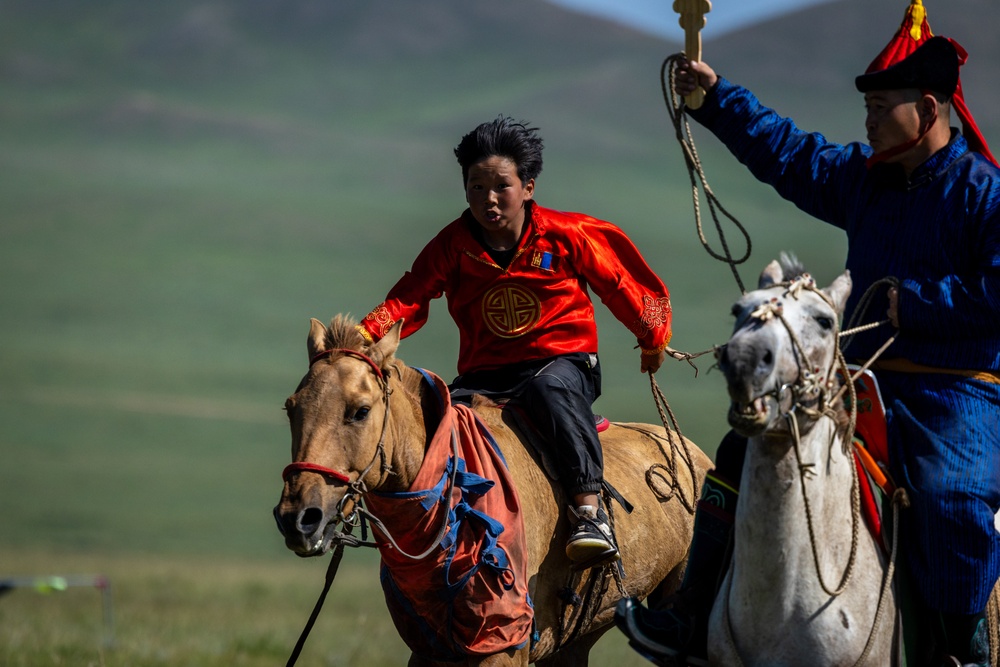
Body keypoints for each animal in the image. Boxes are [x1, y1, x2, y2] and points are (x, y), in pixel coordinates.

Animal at [274, 318, 712, 667]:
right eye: (291, 408)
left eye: (360, 411)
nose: (298, 518)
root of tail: (691, 455)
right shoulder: (431, 648)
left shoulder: (504, 647)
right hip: (577, 639)